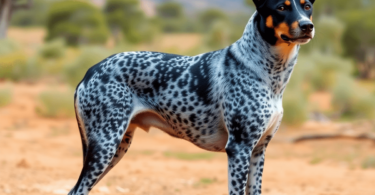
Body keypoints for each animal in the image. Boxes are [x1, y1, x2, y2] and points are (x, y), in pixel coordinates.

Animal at [70, 0, 314, 194]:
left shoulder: (258, 150)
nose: (307, 26)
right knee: (77, 190)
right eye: (281, 7)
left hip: (116, 147)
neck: (269, 73)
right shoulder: (239, 148)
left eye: (307, 6)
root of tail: (91, 70)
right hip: (105, 146)